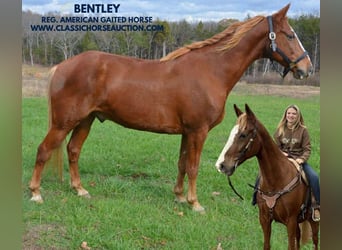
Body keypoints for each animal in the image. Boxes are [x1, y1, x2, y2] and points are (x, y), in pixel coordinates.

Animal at [29, 3, 312, 211]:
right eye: (290, 35)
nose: (306, 68)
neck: (211, 70)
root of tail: (63, 66)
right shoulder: (198, 131)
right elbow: (193, 166)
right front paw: (195, 204)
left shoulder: (187, 132)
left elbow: (182, 163)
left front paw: (178, 196)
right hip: (64, 122)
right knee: (44, 150)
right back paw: (35, 193)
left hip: (85, 120)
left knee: (73, 150)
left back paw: (80, 190)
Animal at [215, 103, 320, 248]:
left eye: (243, 135)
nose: (221, 165)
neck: (276, 180)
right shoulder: (264, 220)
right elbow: (267, 244)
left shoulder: (291, 222)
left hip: (313, 221)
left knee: (315, 241)